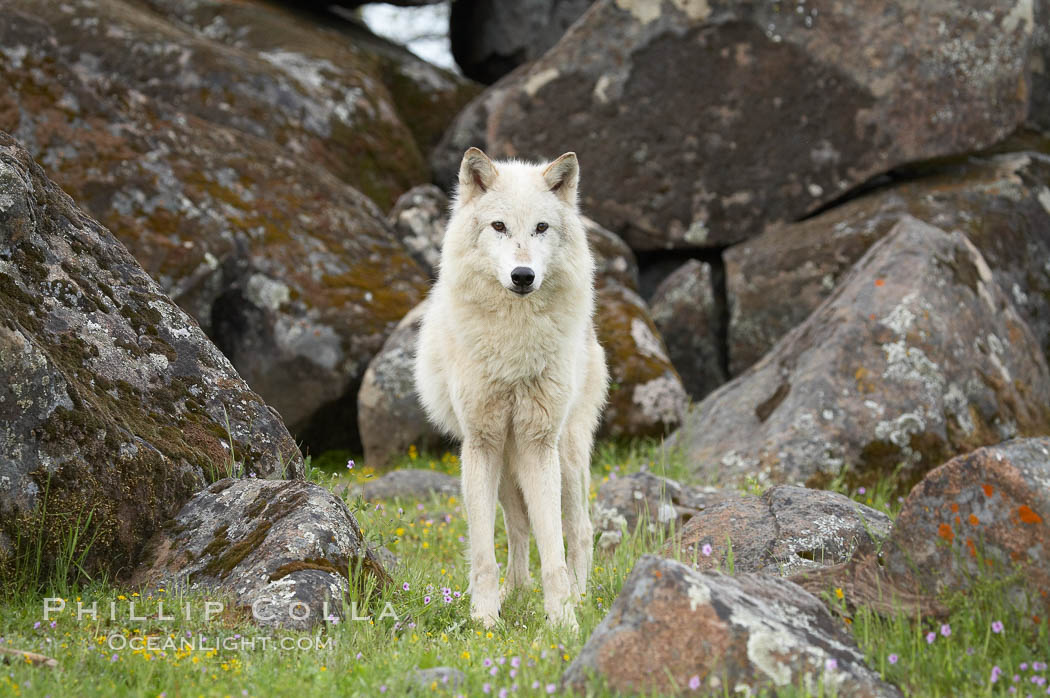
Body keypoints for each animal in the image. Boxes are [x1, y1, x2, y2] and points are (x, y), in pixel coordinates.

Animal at [414, 147, 608, 630]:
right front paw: (485, 618)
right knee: (518, 527)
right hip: (505, 460)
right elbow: (485, 551)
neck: (513, 347)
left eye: (541, 228)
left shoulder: (539, 443)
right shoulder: (481, 443)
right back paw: (515, 593)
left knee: (580, 530)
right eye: (499, 226)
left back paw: (580, 597)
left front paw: (563, 622)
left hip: (565, 456)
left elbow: (554, 549)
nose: (523, 275)